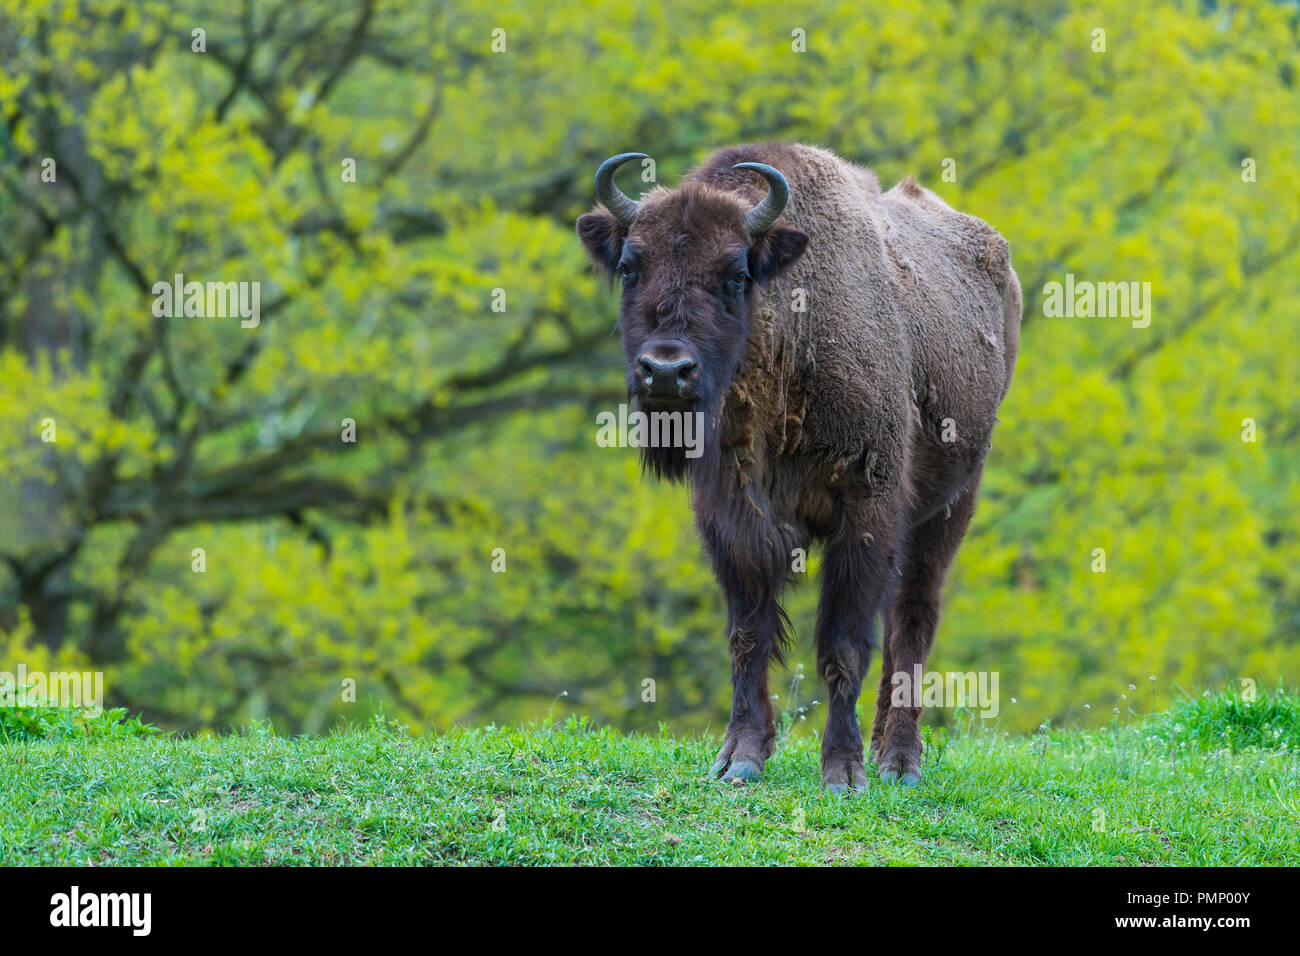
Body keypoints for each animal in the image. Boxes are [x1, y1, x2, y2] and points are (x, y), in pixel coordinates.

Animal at [577, 143, 1020, 790]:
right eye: (631, 267)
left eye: (736, 274)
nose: (665, 370)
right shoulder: (731, 521)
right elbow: (749, 634)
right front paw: (740, 757)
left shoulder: (866, 513)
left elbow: (842, 643)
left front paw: (843, 771)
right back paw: (885, 749)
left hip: (952, 504)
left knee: (912, 618)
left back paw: (899, 761)